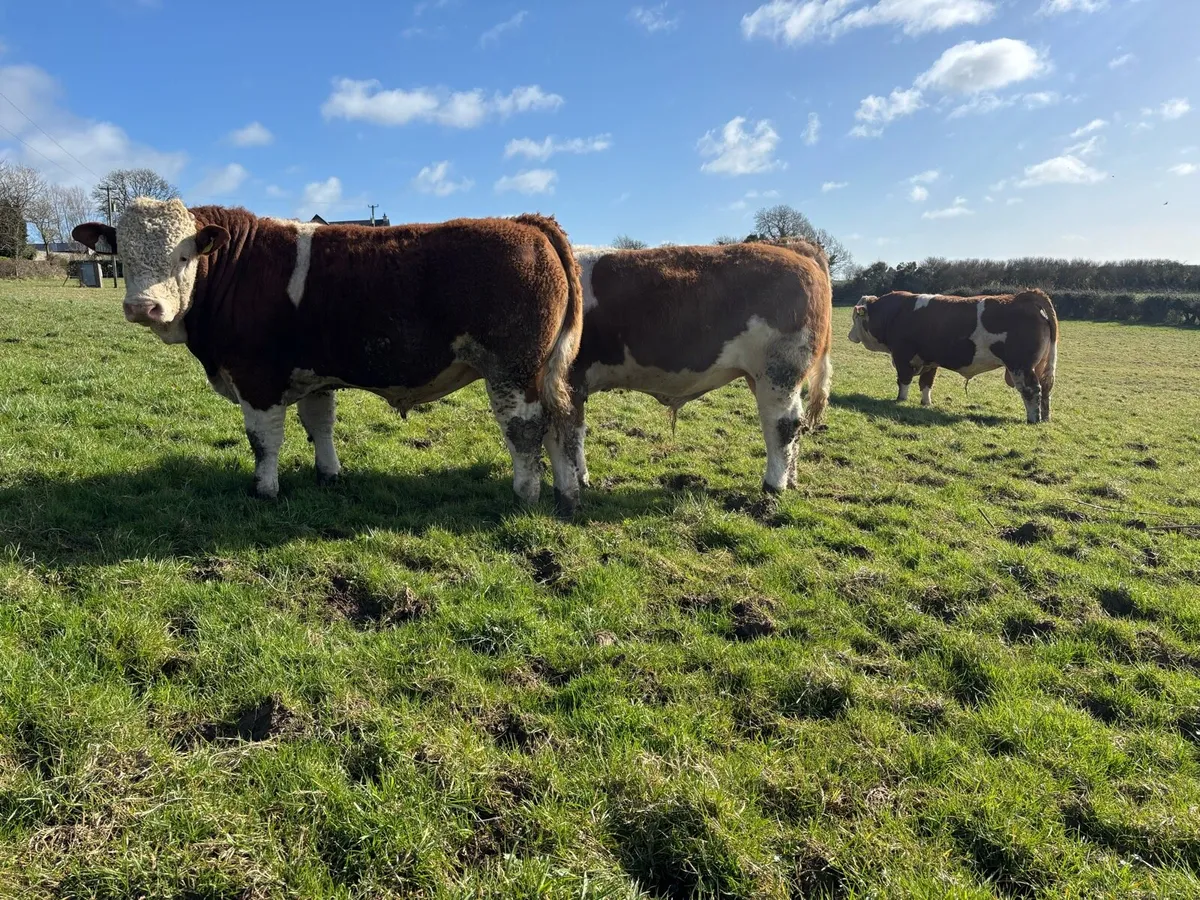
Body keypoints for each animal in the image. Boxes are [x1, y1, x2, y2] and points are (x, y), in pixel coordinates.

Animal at [73, 199, 584, 513]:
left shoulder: (256, 378)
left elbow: (264, 441)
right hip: (544, 372)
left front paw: (265, 490)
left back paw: (525, 493)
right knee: (559, 424)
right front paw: (329, 475)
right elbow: (319, 425)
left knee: (525, 430)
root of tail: (523, 221)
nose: (143, 307)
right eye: (123, 256)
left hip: (513, 370)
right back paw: (566, 492)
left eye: (182, 257)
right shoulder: (312, 376)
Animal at [557, 240, 833, 495]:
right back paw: (791, 479)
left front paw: (580, 478)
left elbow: (573, 431)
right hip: (767, 378)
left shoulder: (571, 378)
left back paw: (773, 486)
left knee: (782, 425)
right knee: (796, 425)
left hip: (779, 373)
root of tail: (796, 249)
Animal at [847, 289, 1058, 423]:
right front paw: (926, 403)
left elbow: (904, 381)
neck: (894, 313)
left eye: (855, 317)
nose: (849, 335)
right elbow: (926, 383)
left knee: (1032, 390)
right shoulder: (929, 361)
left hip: (1021, 366)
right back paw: (1045, 418)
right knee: (1046, 389)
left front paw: (900, 400)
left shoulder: (902, 356)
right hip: (1039, 366)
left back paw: (1033, 419)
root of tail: (1023, 297)